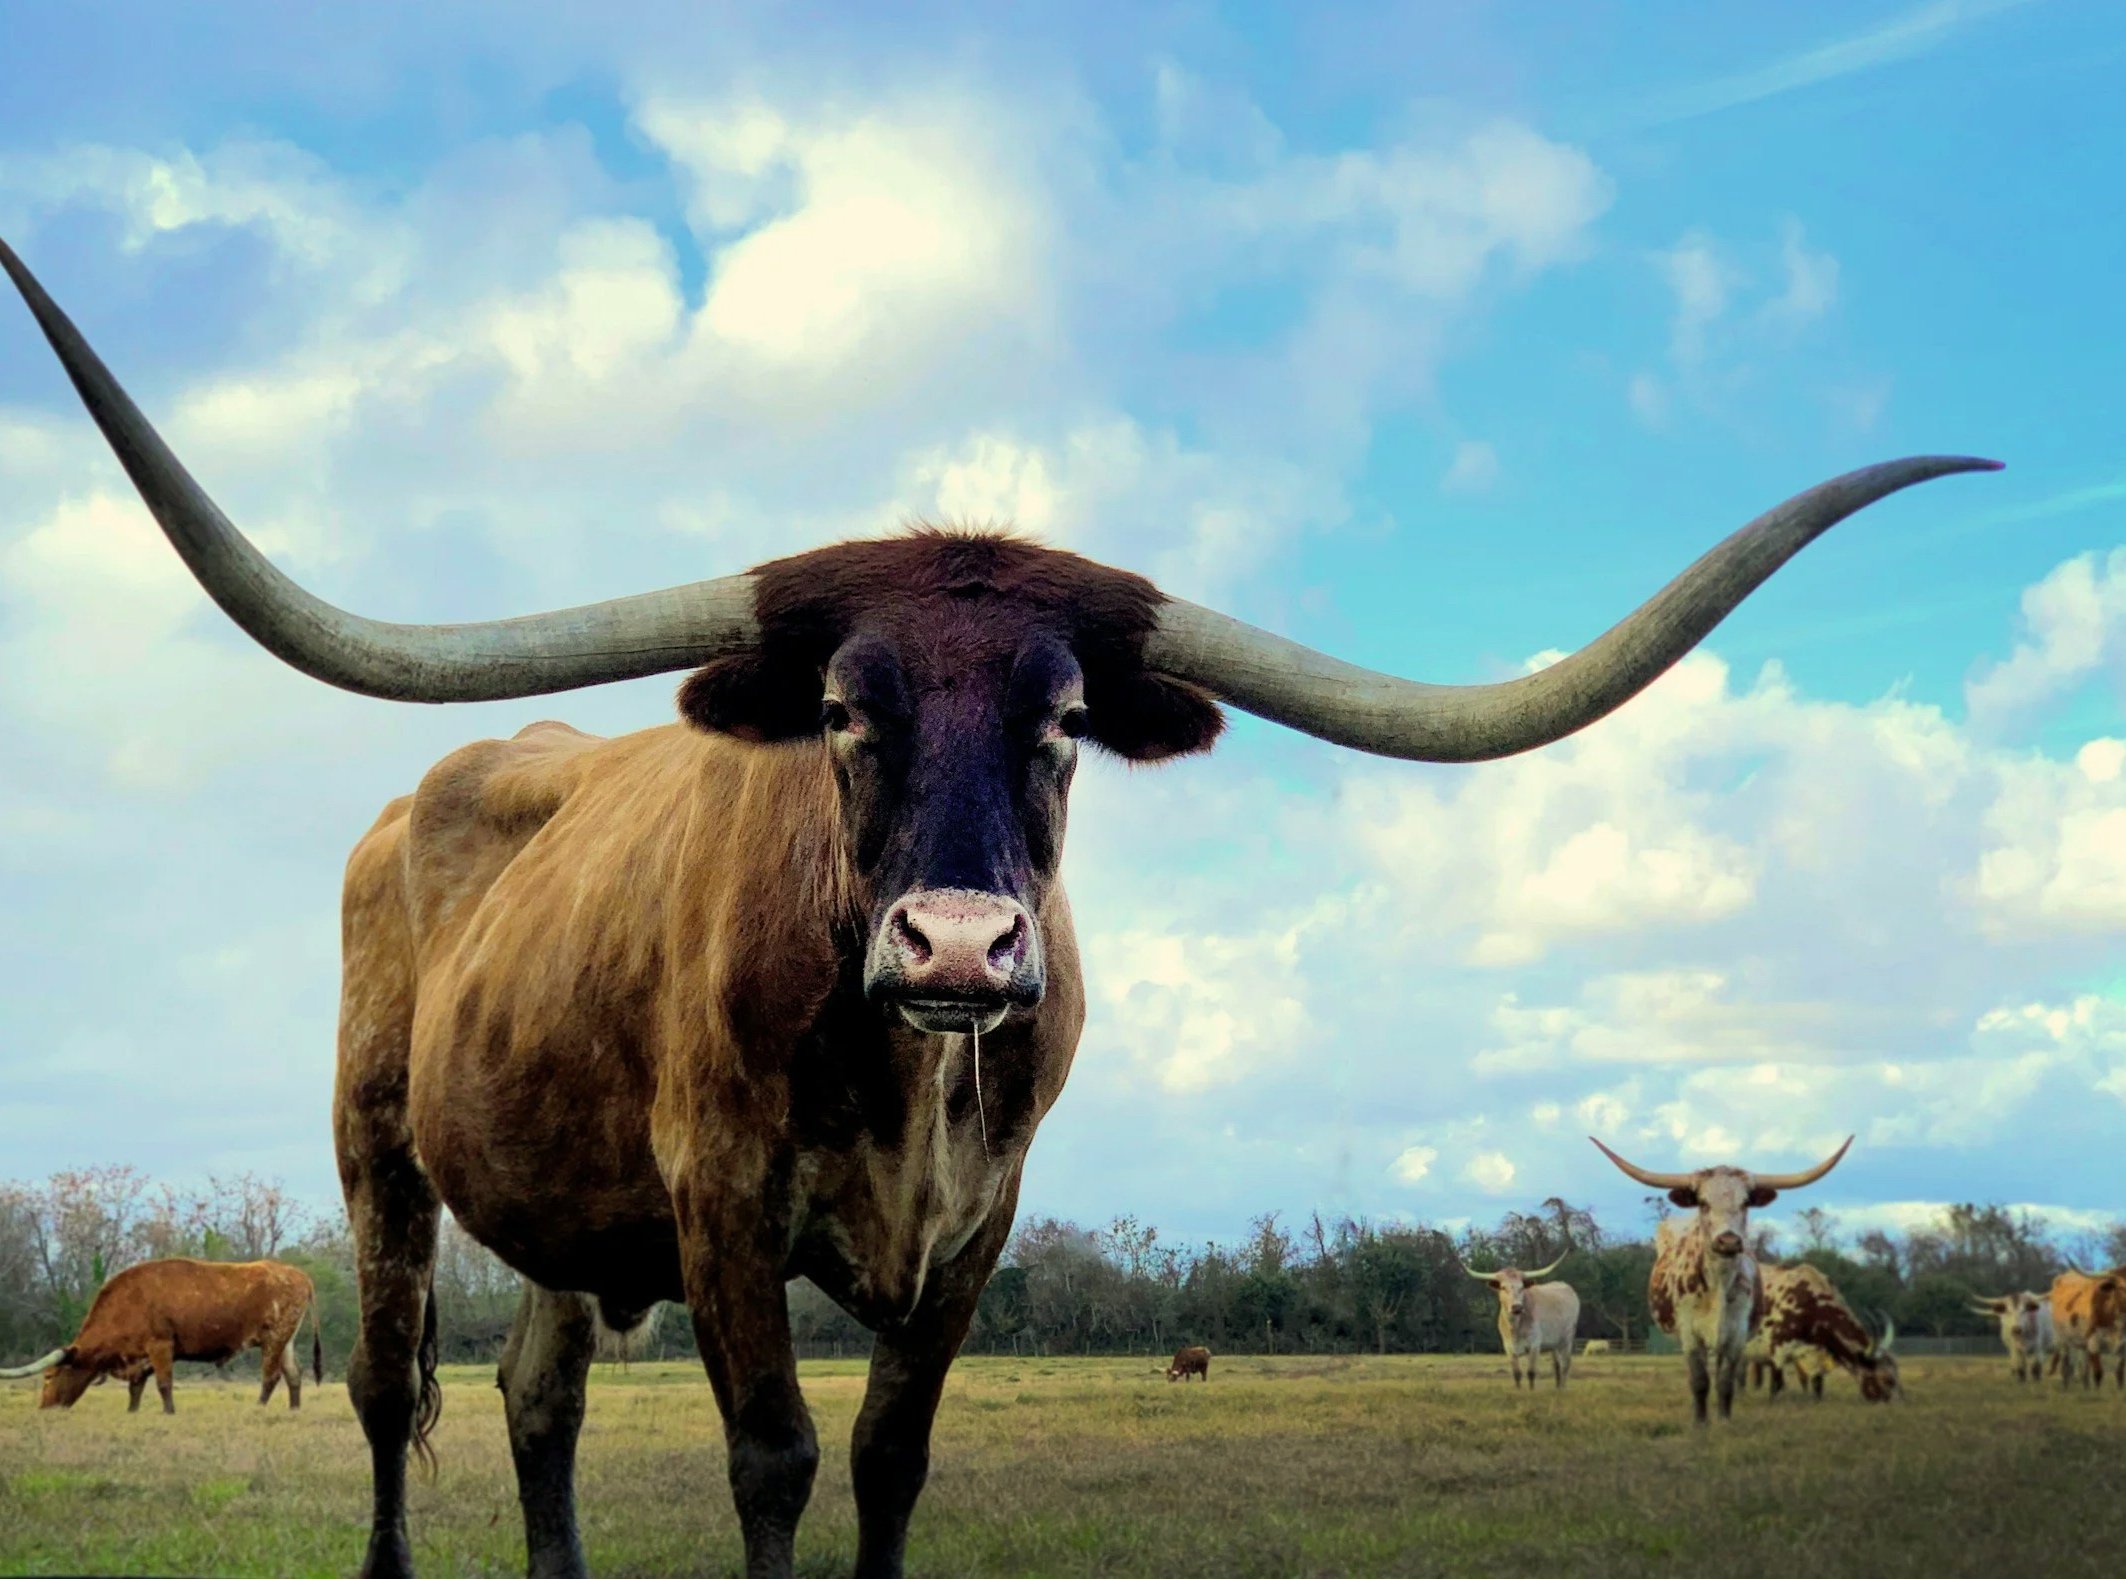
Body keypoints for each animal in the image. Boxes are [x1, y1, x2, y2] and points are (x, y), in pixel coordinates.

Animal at [0, 1257, 321, 1414]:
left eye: (49, 1376)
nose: (44, 1408)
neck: (128, 1301)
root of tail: (300, 1276)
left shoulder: (160, 1347)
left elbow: (164, 1384)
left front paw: (169, 1412)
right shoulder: (139, 1356)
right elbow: (136, 1388)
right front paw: (132, 1412)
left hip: (274, 1339)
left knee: (271, 1376)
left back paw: (259, 1407)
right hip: (286, 1341)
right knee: (294, 1375)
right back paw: (294, 1410)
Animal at [1465, 1251, 1579, 1389]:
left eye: (1521, 1287)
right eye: (1503, 1287)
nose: (1517, 1307)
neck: (1515, 1326)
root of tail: (1564, 1285)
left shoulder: (1534, 1345)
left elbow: (1531, 1372)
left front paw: (1531, 1391)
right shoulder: (1509, 1348)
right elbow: (1517, 1374)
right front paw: (1518, 1390)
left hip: (1567, 1339)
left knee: (1565, 1364)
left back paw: (1563, 1388)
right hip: (1554, 1343)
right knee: (1556, 1365)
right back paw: (1557, 1388)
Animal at [1592, 1136, 1851, 1423]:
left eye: (1745, 1203)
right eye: (1703, 1202)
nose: (1728, 1241)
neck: (1718, 1282)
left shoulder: (1736, 1334)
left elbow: (1725, 1380)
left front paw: (1724, 1419)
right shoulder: (1690, 1334)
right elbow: (1699, 1380)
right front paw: (1701, 1422)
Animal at [1746, 1262, 1901, 1403]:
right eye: (1887, 1379)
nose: (1896, 1403)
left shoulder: (1815, 1355)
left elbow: (1817, 1384)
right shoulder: (1778, 1350)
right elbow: (1776, 1385)